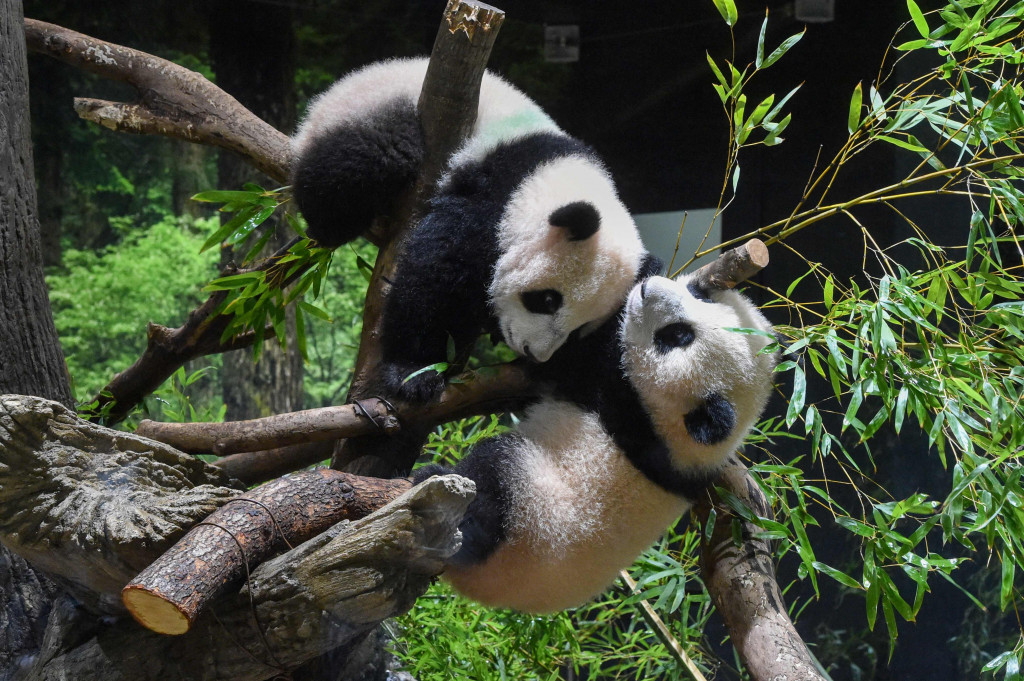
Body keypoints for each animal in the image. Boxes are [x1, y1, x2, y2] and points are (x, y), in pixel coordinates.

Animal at [291, 58, 647, 400]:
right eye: (547, 300)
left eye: (579, 329)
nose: (534, 353)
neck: (551, 177)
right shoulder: (495, 192)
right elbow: (437, 270)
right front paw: (416, 372)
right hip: (371, 109)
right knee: (368, 157)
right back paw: (331, 225)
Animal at [413, 269, 777, 612]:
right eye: (698, 294)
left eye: (676, 336)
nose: (648, 288)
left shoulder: (625, 406)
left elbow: (571, 361)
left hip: (529, 517)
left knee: (492, 483)